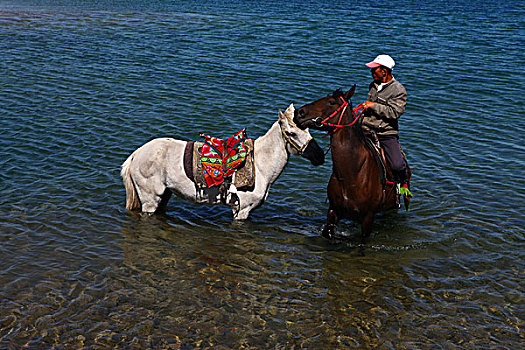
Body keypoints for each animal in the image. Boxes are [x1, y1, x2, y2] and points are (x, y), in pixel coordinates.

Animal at [121, 103, 324, 219]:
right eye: (292, 133)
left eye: (308, 131)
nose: (320, 156)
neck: (260, 165)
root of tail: (136, 155)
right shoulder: (242, 210)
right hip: (150, 199)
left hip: (164, 196)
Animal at [294, 86, 410, 241]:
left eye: (331, 102)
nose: (299, 112)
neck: (351, 173)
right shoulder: (334, 210)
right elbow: (328, 233)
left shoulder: (368, 217)